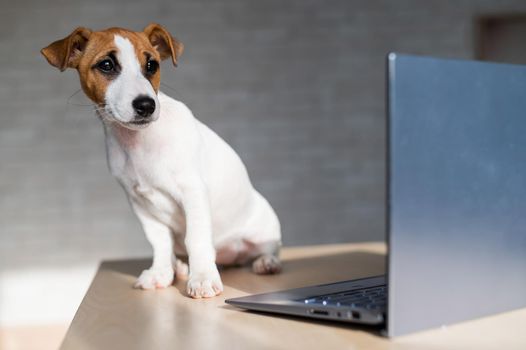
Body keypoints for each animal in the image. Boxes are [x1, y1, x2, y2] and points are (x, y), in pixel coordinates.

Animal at [40, 23, 284, 298]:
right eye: (106, 65)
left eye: (151, 65)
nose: (146, 105)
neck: (138, 143)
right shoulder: (140, 204)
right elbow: (159, 242)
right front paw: (161, 272)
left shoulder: (192, 192)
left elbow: (196, 238)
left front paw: (202, 277)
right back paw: (180, 266)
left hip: (264, 229)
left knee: (267, 249)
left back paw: (265, 262)